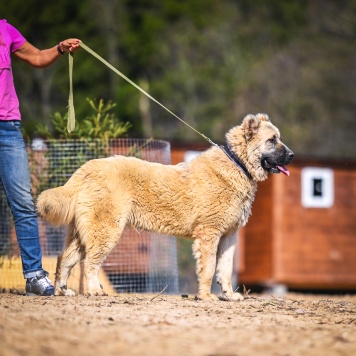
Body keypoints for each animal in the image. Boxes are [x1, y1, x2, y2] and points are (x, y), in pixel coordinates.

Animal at [36, 113, 294, 300]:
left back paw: (62, 291)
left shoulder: (229, 236)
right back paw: (94, 291)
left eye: (279, 138)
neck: (237, 163)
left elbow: (225, 269)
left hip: (83, 232)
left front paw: (229, 296)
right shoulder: (209, 234)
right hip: (106, 230)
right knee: (90, 263)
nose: (292, 155)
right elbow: (209, 268)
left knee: (64, 258)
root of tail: (86, 168)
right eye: (272, 140)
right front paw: (206, 297)